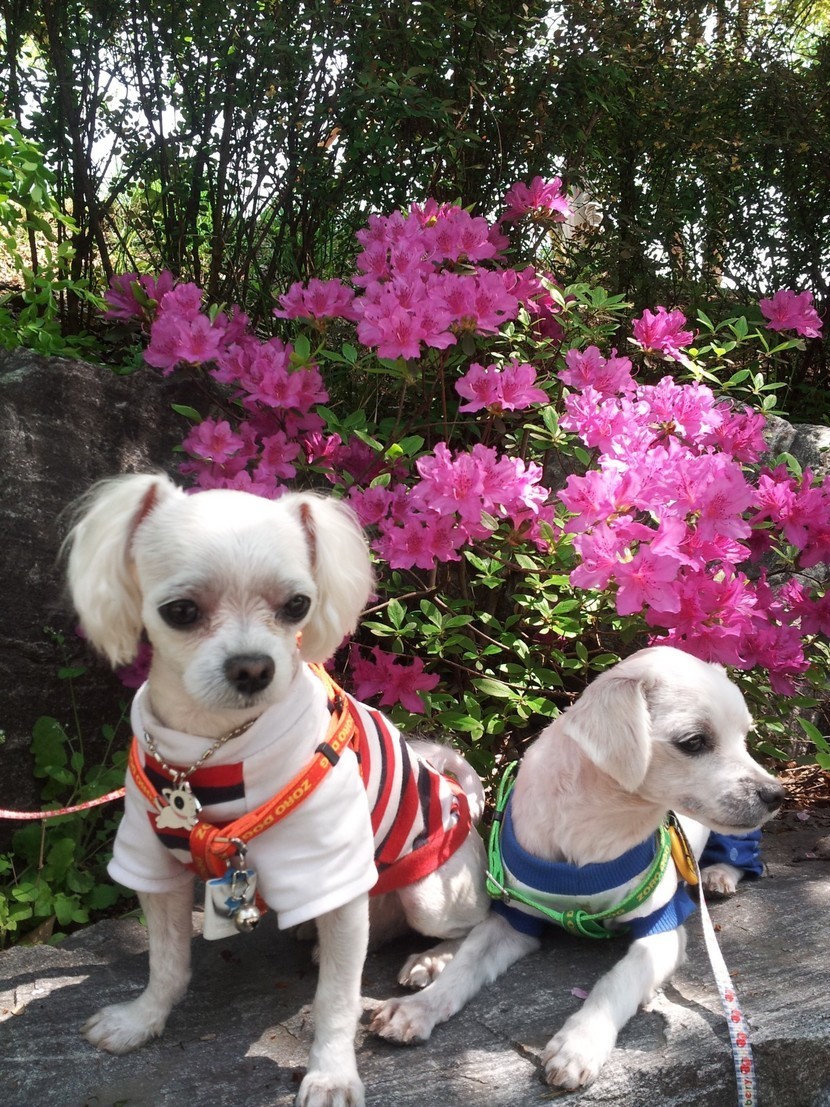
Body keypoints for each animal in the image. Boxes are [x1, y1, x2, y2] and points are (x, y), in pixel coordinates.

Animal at [64, 472, 489, 1107]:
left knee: (478, 924)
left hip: (429, 890)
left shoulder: (335, 875)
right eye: (180, 611)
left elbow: (336, 999)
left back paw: (431, 961)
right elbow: (166, 960)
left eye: (297, 606)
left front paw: (332, 1074)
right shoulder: (151, 861)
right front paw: (142, 1019)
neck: (213, 750)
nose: (252, 667)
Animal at [370, 646, 785, 1090]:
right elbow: (466, 964)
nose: (776, 794)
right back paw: (431, 960)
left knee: (741, 856)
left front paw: (579, 1043)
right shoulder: (514, 919)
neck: (599, 825)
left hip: (735, 839)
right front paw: (420, 1007)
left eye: (745, 738)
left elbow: (616, 981)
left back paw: (719, 873)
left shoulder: (662, 930)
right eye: (694, 742)